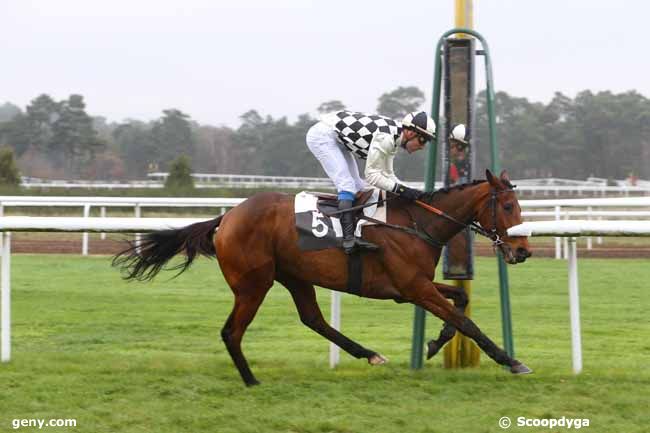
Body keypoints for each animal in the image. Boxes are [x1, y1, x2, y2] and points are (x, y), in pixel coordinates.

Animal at [114, 169, 532, 384]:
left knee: (313, 319)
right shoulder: (413, 288)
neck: (418, 223)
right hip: (253, 285)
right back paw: (251, 380)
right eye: (508, 206)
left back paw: (369, 354)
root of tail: (226, 217)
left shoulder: (414, 286)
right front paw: (511, 361)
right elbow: (466, 321)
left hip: (294, 276)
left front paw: (434, 343)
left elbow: (460, 303)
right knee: (232, 332)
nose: (524, 251)